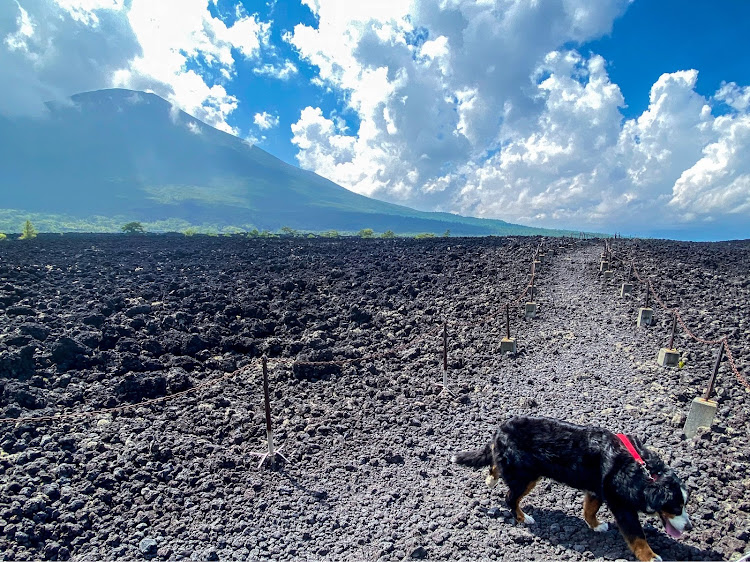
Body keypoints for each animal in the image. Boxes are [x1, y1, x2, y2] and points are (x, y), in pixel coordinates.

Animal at [452, 414, 692, 556]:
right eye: (676, 507)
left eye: (684, 505)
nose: (689, 527)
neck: (642, 471)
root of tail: (501, 429)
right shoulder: (622, 507)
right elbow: (638, 537)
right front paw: (651, 557)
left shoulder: (596, 489)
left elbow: (589, 510)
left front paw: (595, 525)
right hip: (526, 476)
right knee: (510, 498)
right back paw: (523, 518)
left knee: (495, 466)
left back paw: (491, 478)